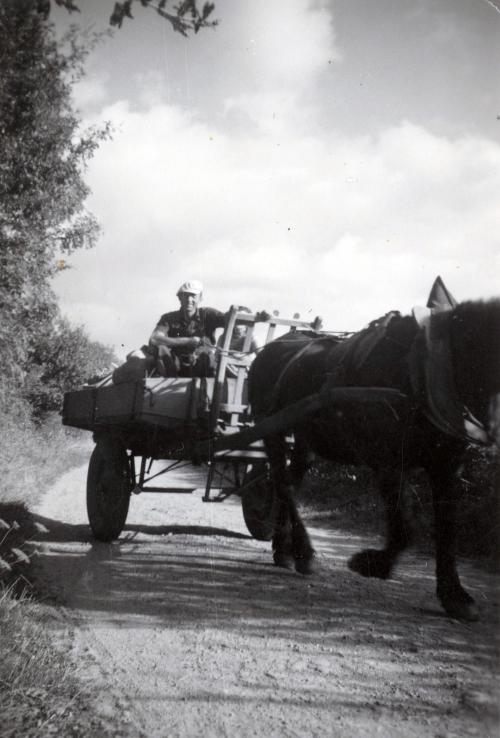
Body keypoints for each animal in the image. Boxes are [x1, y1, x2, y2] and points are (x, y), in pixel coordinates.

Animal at [249, 296, 500, 620]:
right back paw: (305, 553)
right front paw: (372, 563)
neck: (425, 365)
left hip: (304, 439)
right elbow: (405, 527)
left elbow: (447, 529)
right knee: (283, 483)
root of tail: (270, 349)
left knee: (290, 482)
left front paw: (455, 595)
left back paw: (283, 550)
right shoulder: (390, 463)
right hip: (272, 429)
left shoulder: (447, 466)